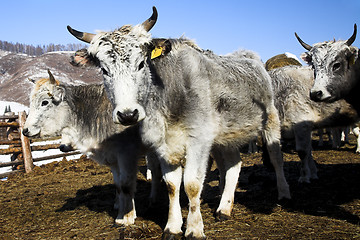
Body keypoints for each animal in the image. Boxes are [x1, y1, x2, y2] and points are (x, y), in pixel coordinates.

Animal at [22, 70, 163, 226]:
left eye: (45, 102)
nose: (25, 130)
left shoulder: (126, 154)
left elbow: (126, 185)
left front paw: (127, 217)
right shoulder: (113, 157)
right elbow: (118, 184)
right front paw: (120, 212)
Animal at [67, 6, 292, 239]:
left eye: (141, 63)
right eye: (104, 70)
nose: (128, 114)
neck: (169, 97)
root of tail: (251, 59)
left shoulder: (198, 141)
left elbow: (191, 184)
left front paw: (194, 228)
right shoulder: (164, 144)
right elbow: (172, 185)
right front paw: (173, 227)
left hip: (271, 121)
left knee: (276, 157)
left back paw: (283, 193)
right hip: (224, 138)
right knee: (233, 164)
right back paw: (224, 208)